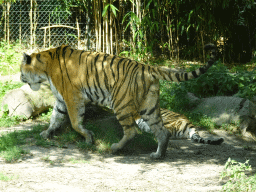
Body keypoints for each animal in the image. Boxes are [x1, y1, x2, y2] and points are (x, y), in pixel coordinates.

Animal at [19, 44, 216, 159]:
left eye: (21, 70)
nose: (20, 78)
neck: (45, 68)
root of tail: (147, 67)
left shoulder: (72, 96)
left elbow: (75, 122)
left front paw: (88, 137)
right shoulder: (61, 99)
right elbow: (55, 118)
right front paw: (46, 133)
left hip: (120, 103)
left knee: (132, 131)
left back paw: (115, 148)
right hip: (149, 107)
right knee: (162, 132)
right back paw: (158, 155)